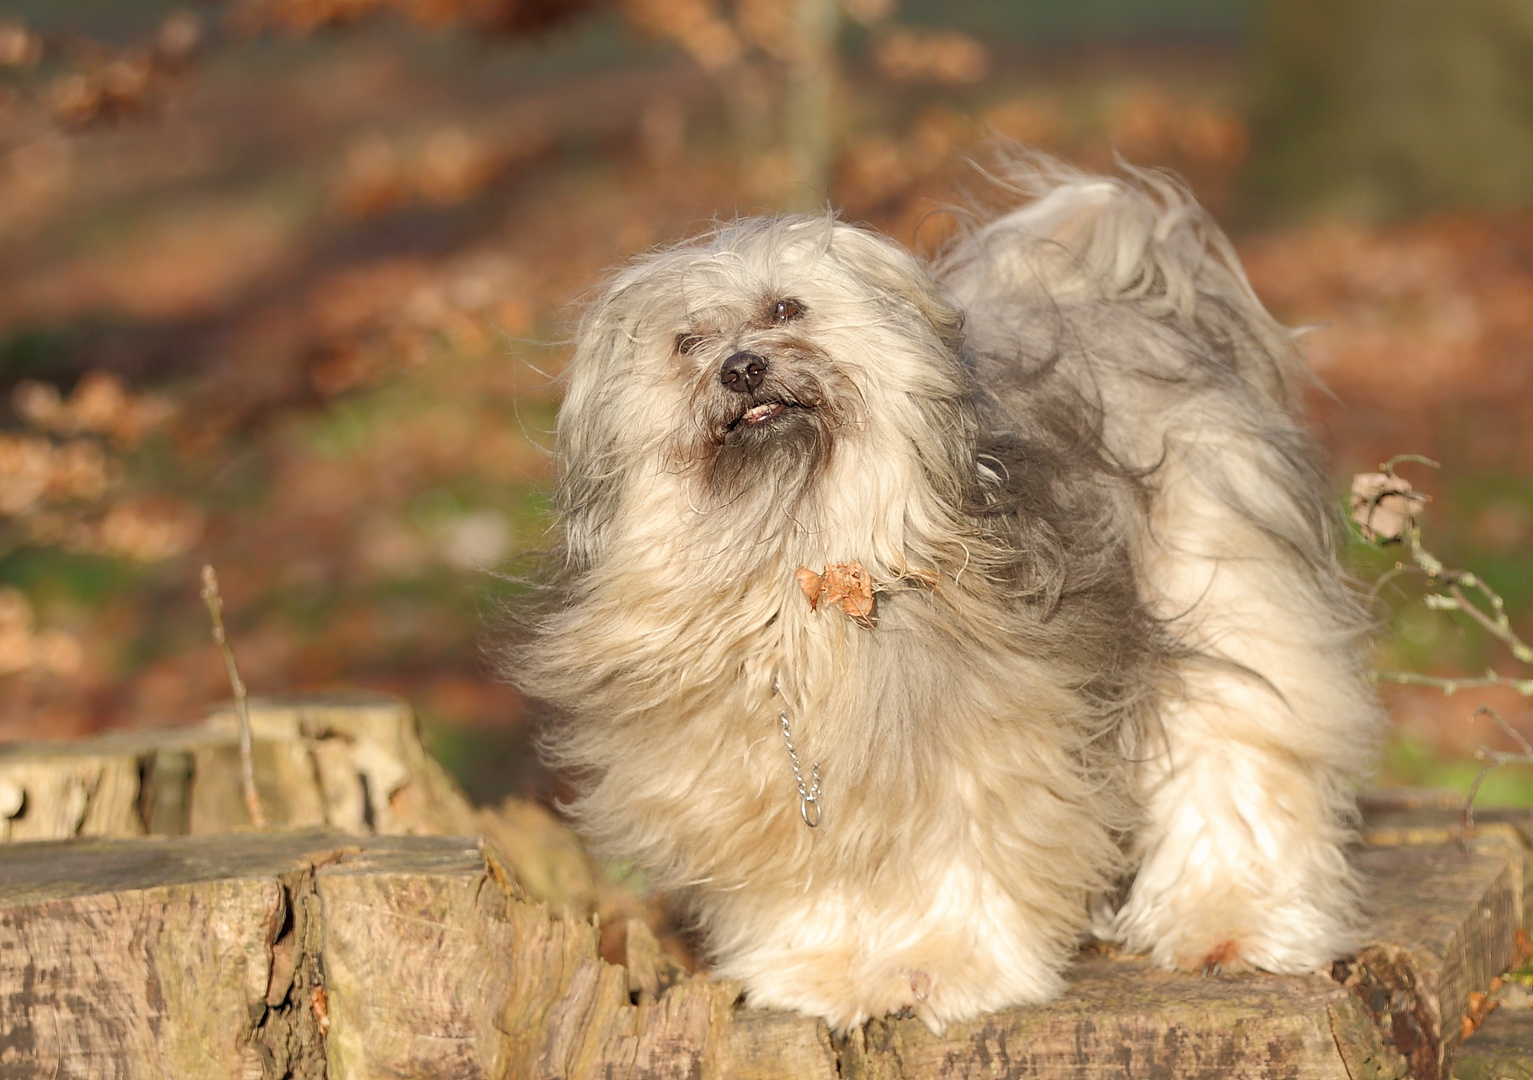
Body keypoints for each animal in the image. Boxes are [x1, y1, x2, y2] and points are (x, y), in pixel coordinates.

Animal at [512, 157, 1379, 1029]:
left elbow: (964, 856)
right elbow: (806, 875)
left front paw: (945, 966)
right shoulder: (747, 772)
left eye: (785, 308)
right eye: (684, 342)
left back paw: (1231, 924)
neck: (799, 566)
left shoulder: (993, 739)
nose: (741, 367)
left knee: (1238, 752)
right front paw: (816, 971)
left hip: (1226, 586)